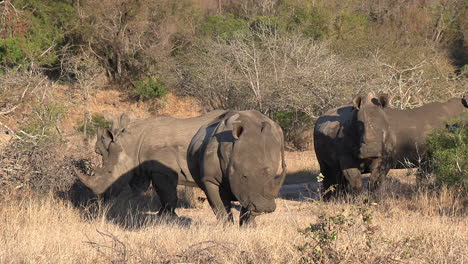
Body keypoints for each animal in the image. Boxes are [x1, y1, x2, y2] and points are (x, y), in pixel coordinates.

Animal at [75, 109, 227, 214]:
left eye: (110, 172)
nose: (101, 197)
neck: (132, 145)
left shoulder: (161, 170)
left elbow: (167, 194)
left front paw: (166, 215)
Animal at [314, 92, 468, 197]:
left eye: (383, 131)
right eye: (358, 129)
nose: (370, 151)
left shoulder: (387, 156)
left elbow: (376, 180)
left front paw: (371, 201)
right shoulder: (347, 157)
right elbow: (355, 180)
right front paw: (357, 201)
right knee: (328, 171)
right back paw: (330, 200)